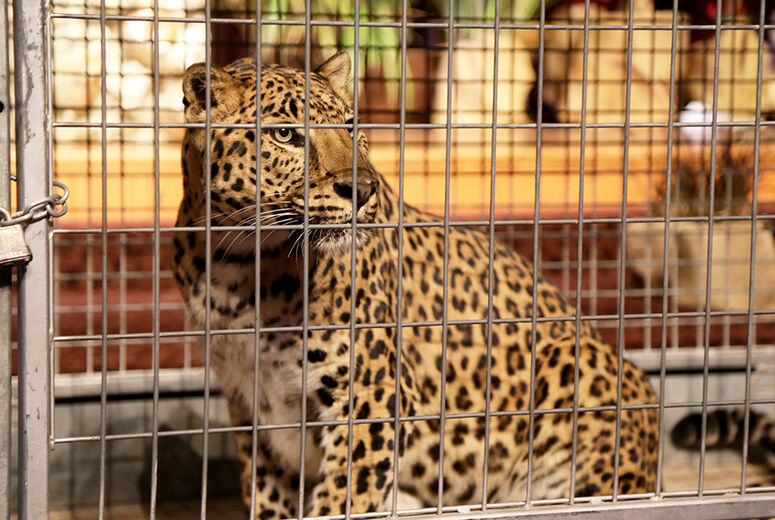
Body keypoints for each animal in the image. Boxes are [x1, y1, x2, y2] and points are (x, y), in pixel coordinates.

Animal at [171, 51, 659, 518]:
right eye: (286, 135)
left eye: (351, 126)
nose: (362, 189)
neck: (239, 265)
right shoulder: (252, 403)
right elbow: (269, 498)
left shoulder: (372, 398)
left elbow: (343, 500)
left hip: (577, 361)